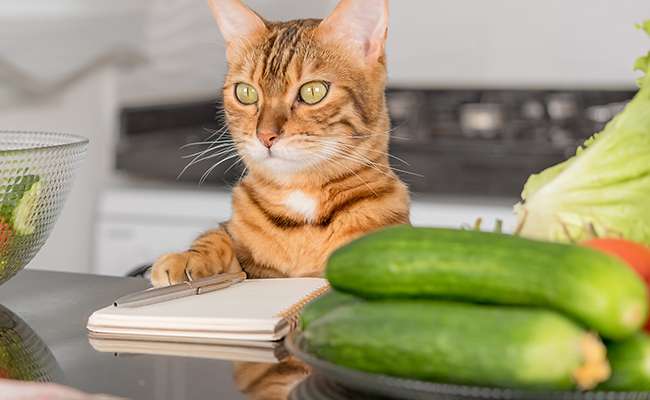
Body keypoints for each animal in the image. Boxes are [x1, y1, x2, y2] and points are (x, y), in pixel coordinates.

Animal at [149, 0, 408, 288]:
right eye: (245, 92)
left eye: (313, 91)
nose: (265, 135)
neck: (301, 198)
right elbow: (216, 236)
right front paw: (189, 257)